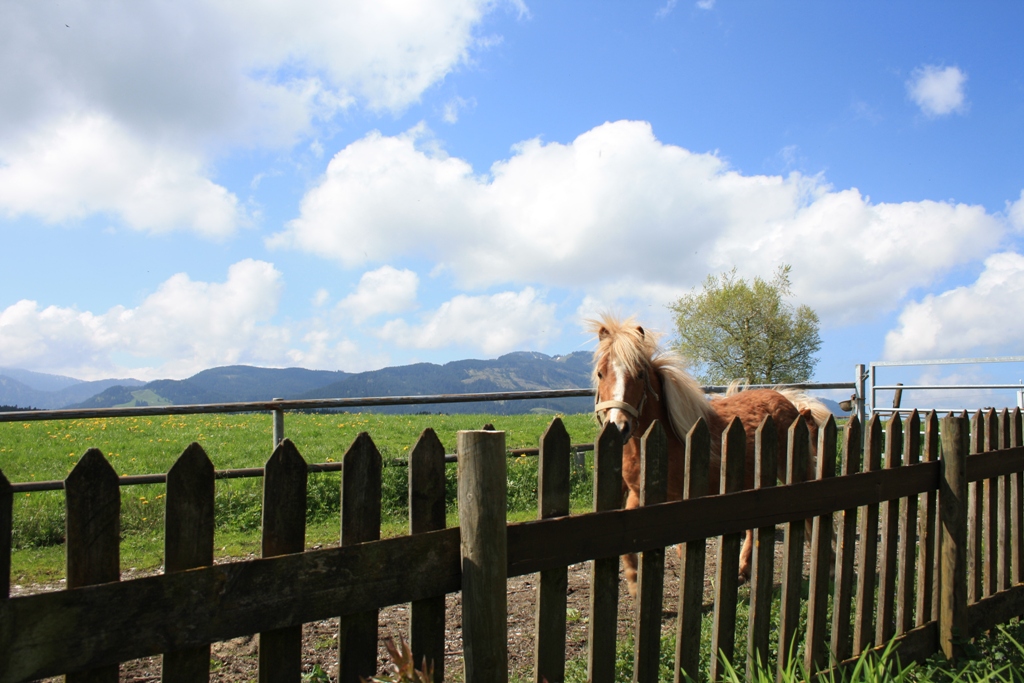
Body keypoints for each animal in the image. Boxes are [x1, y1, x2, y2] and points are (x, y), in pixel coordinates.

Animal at [589, 313, 827, 593]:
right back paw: (742, 571)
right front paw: (637, 589)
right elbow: (627, 550)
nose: (618, 427)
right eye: (601, 373)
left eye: (638, 374)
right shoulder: (635, 494)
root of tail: (785, 400)